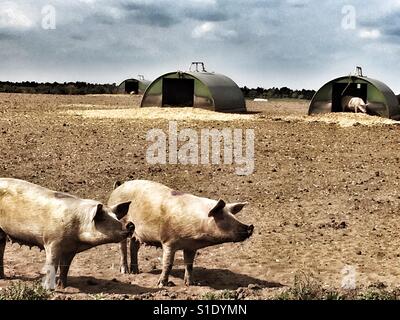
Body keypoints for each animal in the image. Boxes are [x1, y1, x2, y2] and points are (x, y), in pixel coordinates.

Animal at [0, 179, 134, 288]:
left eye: (117, 217)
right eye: (104, 219)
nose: (130, 224)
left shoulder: (71, 249)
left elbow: (65, 267)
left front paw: (63, 286)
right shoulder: (51, 242)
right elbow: (52, 265)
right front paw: (49, 289)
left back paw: (2, 277)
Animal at [108, 180, 255, 288]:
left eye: (233, 216)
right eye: (223, 218)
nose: (250, 226)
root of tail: (118, 187)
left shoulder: (191, 247)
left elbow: (189, 265)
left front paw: (192, 283)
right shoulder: (168, 242)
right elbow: (168, 264)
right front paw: (162, 284)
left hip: (137, 232)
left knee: (134, 246)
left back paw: (136, 272)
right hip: (123, 224)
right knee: (122, 248)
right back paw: (125, 272)